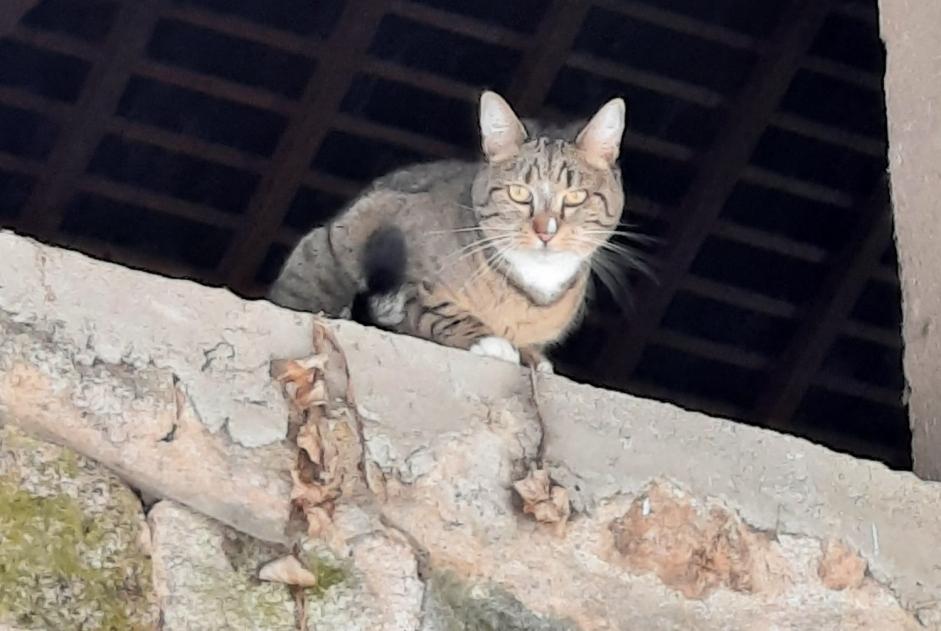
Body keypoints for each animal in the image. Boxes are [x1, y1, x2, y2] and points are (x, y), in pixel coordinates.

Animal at [268, 91, 628, 372]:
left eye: (576, 197)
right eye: (519, 193)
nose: (545, 231)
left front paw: (530, 355)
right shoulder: (388, 239)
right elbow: (434, 308)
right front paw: (487, 339)